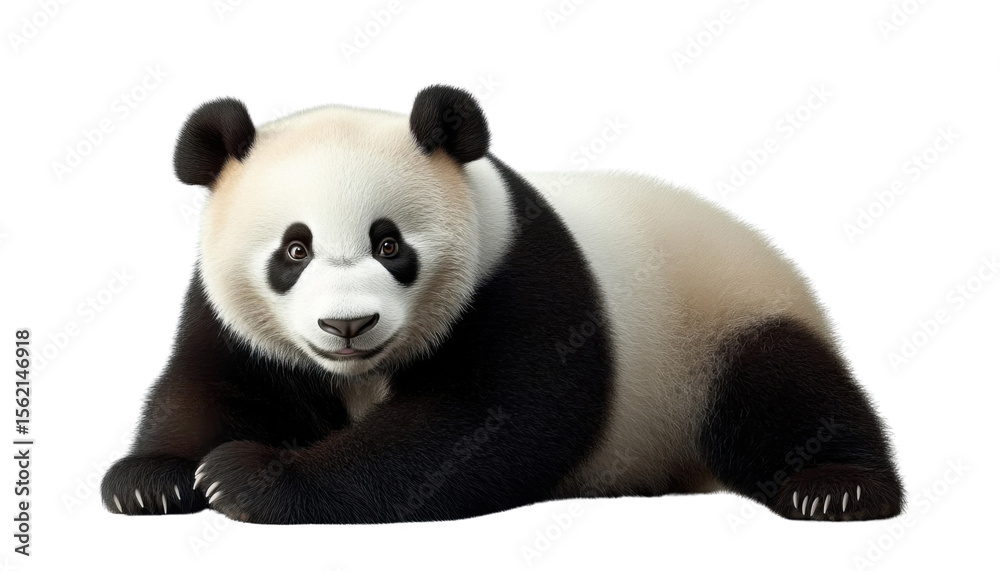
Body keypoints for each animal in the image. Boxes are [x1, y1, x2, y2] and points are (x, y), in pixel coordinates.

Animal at [101, 85, 903, 524]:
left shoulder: (518, 280)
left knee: (786, 392)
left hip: (720, 319)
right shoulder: (231, 314)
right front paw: (153, 479)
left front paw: (247, 477)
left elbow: (481, 426)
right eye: (293, 250)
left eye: (389, 243)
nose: (347, 324)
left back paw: (837, 488)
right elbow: (210, 383)